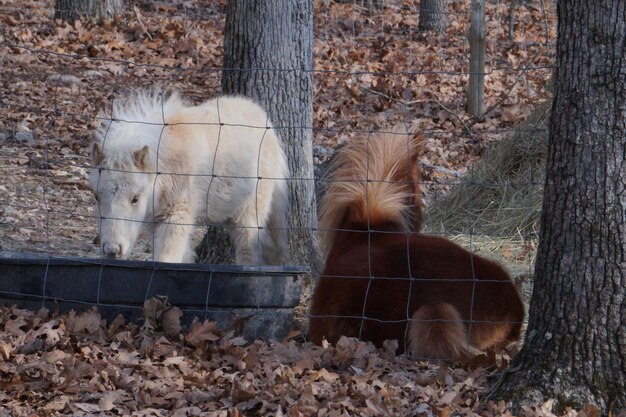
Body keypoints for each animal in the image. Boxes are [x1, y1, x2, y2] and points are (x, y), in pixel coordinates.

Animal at [89, 91, 288, 264]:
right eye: (97, 197)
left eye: (135, 199)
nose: (112, 250)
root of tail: (267, 124)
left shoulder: (176, 217)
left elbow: (166, 259)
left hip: (250, 214)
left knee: (250, 251)